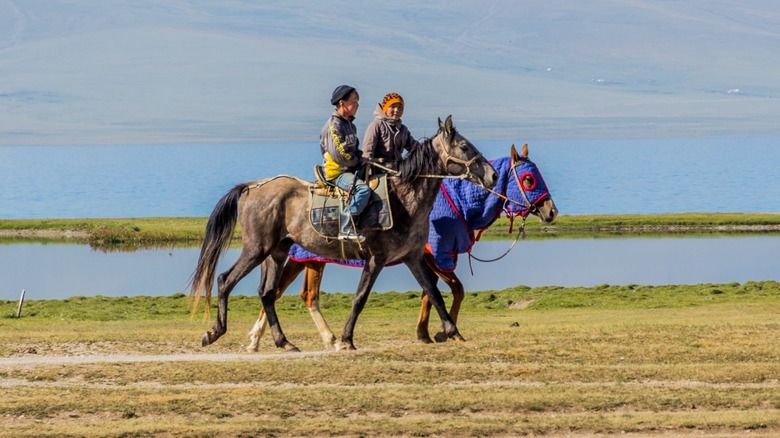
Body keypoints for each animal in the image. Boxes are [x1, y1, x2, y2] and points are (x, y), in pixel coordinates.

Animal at [189, 116, 496, 352]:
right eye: (464, 146)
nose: (492, 176)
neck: (404, 199)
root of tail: (252, 187)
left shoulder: (413, 257)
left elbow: (433, 293)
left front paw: (453, 332)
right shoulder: (376, 259)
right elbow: (360, 298)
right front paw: (347, 340)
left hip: (277, 251)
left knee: (267, 293)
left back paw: (284, 342)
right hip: (257, 249)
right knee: (225, 280)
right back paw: (214, 332)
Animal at [247, 145, 556, 350]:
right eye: (528, 179)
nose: (551, 211)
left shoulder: (422, 257)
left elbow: (431, 292)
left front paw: (430, 332)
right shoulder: (435, 256)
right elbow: (452, 290)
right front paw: (438, 332)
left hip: (309, 259)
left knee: (295, 294)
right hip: (302, 257)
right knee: (283, 292)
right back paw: (267, 339)